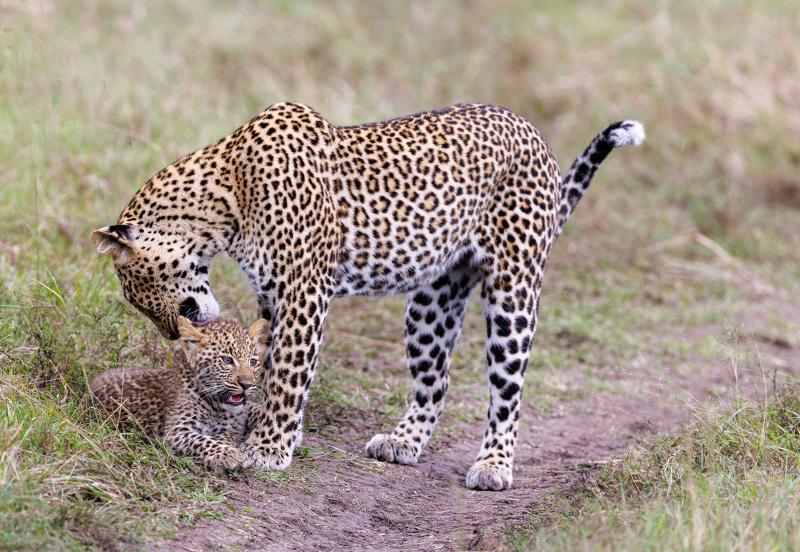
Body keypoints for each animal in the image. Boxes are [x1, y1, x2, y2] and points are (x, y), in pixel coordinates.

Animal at [88, 317, 269, 472]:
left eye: (253, 362)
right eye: (227, 360)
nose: (246, 385)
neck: (218, 406)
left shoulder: (232, 428)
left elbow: (226, 436)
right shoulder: (177, 430)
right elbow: (202, 440)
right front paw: (228, 454)